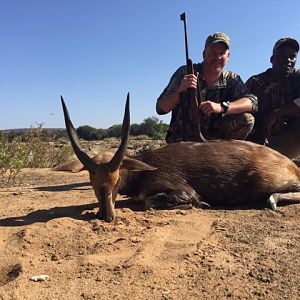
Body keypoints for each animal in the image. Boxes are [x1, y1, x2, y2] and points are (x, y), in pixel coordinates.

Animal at [60, 95, 300, 221]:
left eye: (117, 177)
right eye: (91, 179)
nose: (105, 215)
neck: (142, 172)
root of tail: (290, 164)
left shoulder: (181, 189)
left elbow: (149, 202)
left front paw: (200, 203)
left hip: (266, 180)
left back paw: (272, 200)